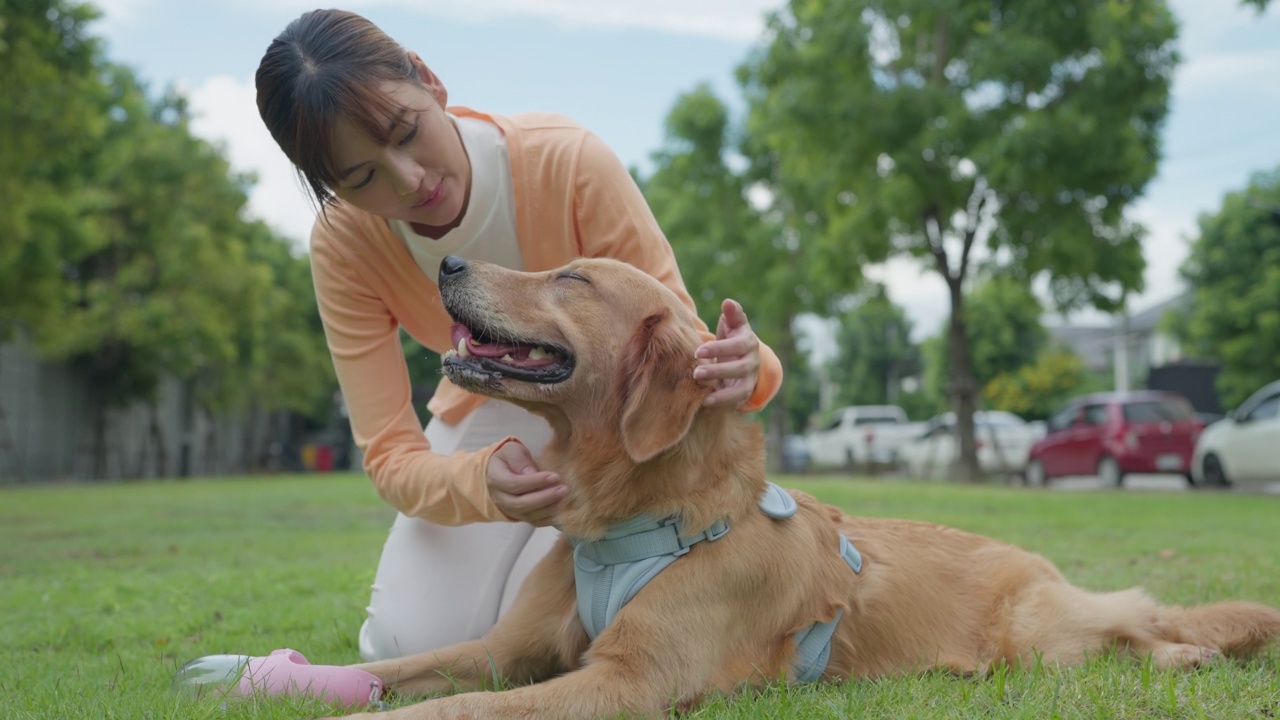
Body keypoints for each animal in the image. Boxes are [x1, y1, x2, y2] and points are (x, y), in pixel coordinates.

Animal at [322, 254, 1280, 712]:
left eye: (572, 276)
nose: (446, 263)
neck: (635, 518)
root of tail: (1034, 562)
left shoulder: (626, 681)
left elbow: (449, 712)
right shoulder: (505, 650)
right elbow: (399, 670)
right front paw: (298, 683)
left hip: (1042, 635)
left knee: (1135, 621)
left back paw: (1186, 653)